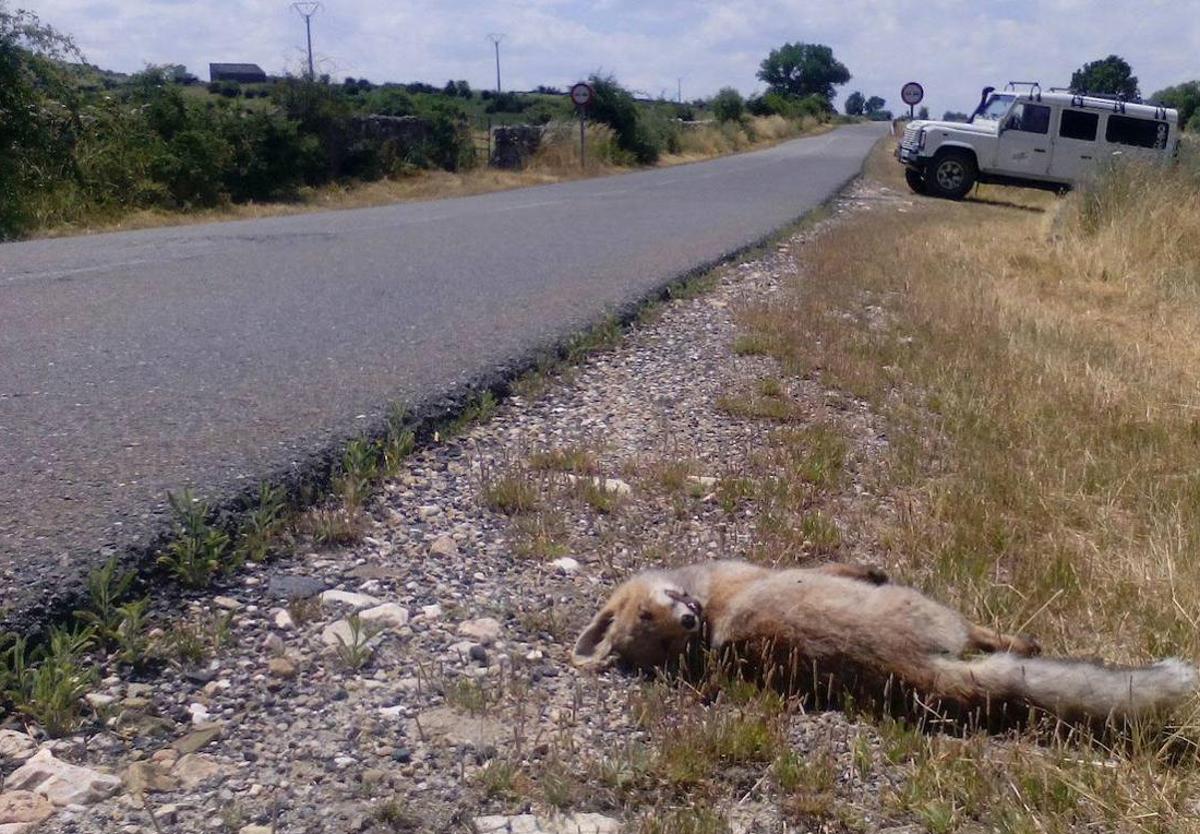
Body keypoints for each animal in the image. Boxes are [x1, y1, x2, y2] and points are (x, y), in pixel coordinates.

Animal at [568, 561, 1190, 724]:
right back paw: (1024, 642)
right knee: (987, 638)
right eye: (657, 632)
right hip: (939, 611)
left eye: (652, 615)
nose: (690, 624)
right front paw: (868, 569)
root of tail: (916, 670)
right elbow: (845, 566)